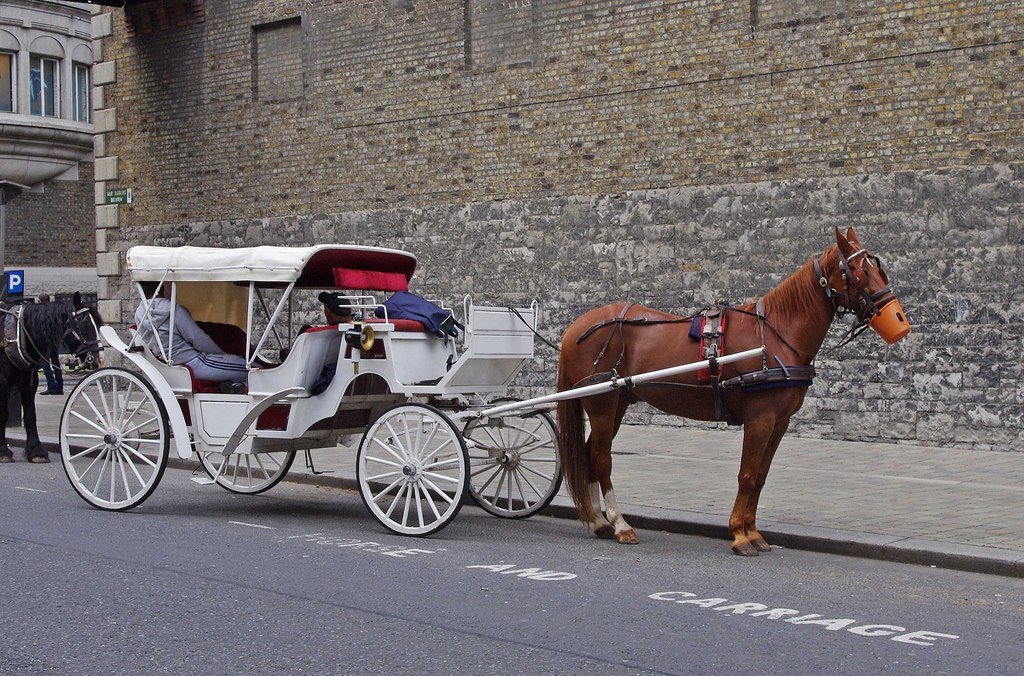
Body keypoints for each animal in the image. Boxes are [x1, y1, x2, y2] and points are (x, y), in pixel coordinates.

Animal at [0, 292, 103, 463]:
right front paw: (3, 451)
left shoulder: (29, 383)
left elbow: (30, 415)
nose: (99, 358)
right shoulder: (2, 383)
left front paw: (36, 451)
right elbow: (5, 414)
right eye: (84, 324)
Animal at [556, 227, 910, 555]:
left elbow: (761, 476)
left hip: (618, 403)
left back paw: (599, 521)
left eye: (878, 268)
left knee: (589, 455)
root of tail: (576, 327)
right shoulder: (760, 419)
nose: (899, 320)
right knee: (601, 459)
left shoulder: (779, 422)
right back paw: (619, 524)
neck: (774, 335)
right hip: (602, 404)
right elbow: (747, 475)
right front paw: (740, 535)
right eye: (860, 271)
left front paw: (753, 532)